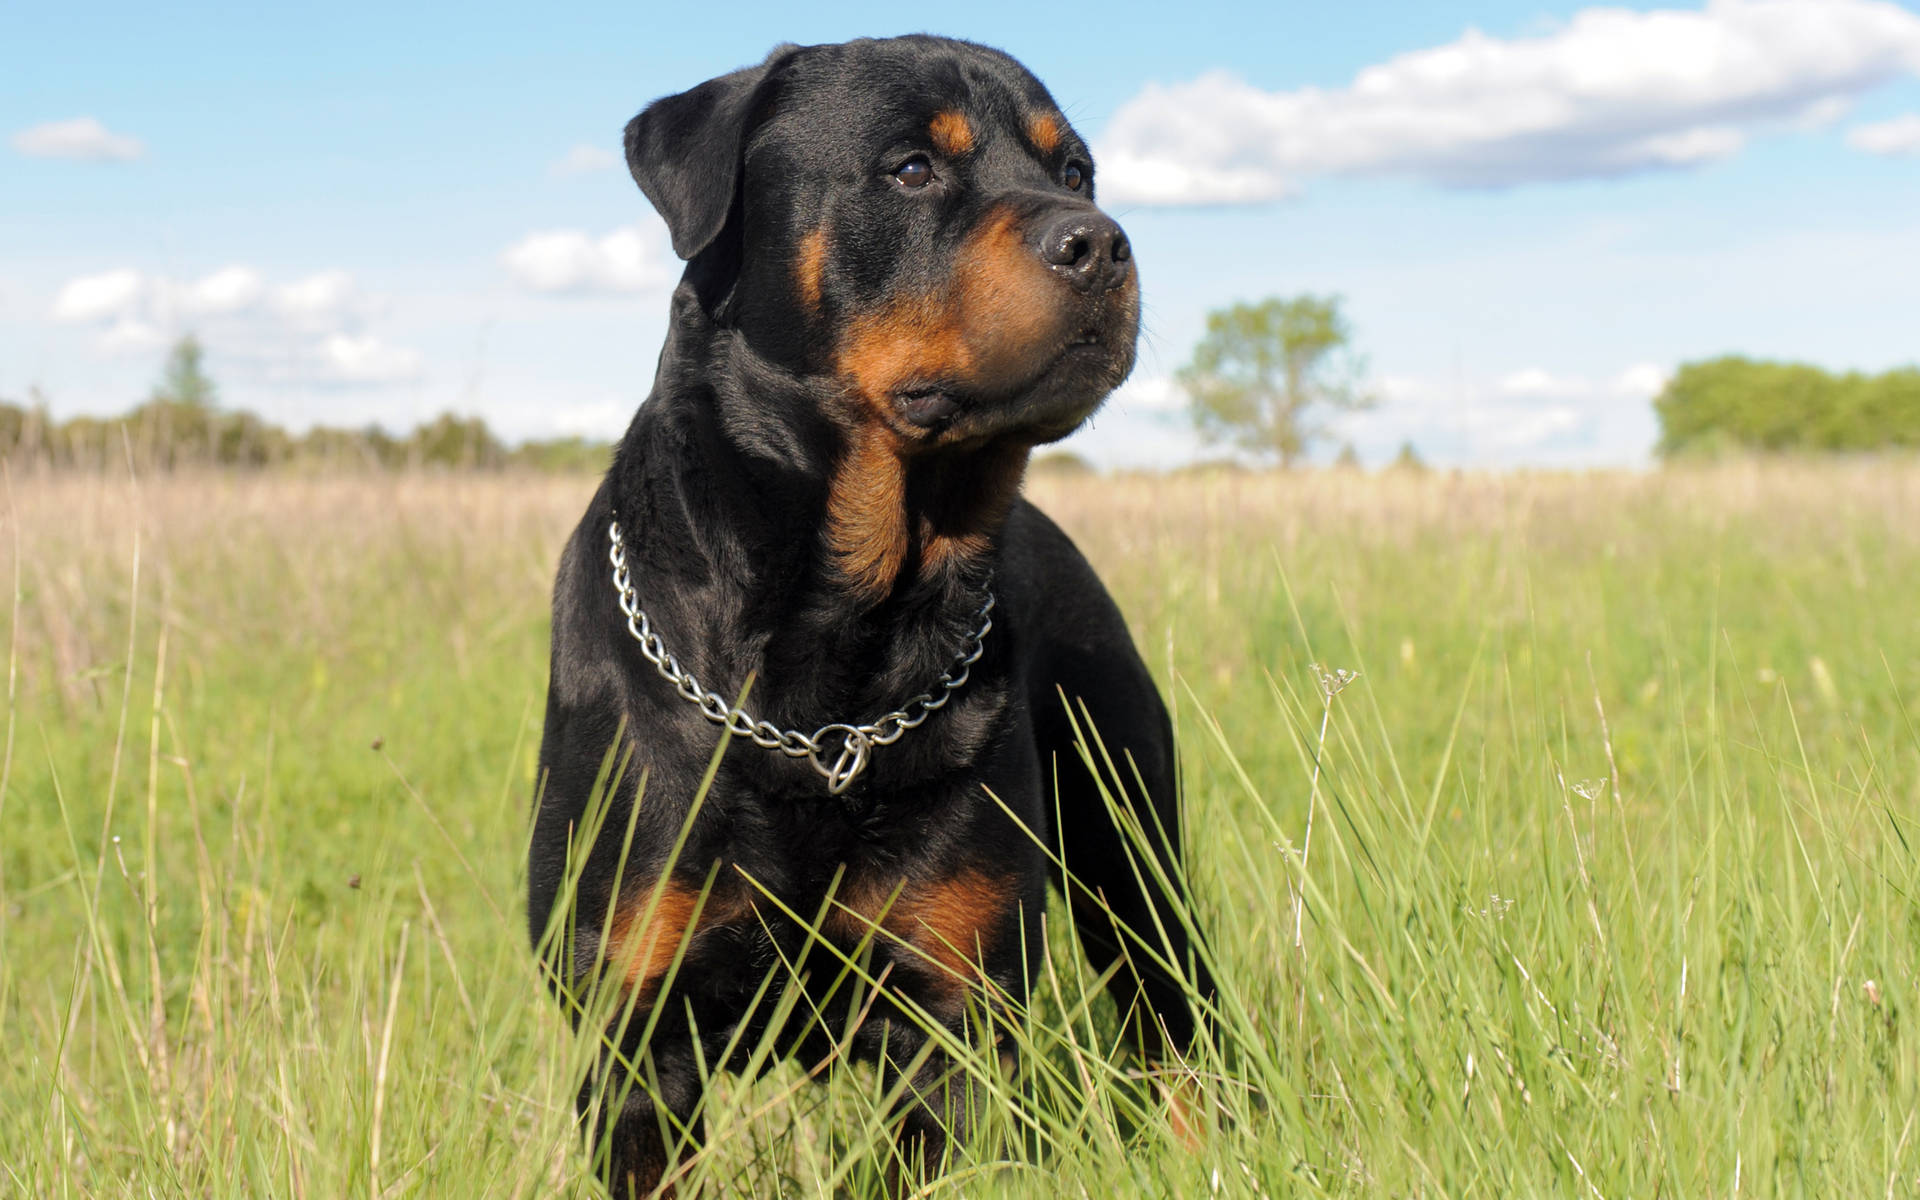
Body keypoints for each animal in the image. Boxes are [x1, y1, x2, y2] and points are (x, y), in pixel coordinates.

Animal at [533, 32, 1205, 1190]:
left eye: (1075, 173)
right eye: (911, 169)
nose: (1102, 243)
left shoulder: (949, 1016)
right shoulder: (635, 1033)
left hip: (1132, 839)